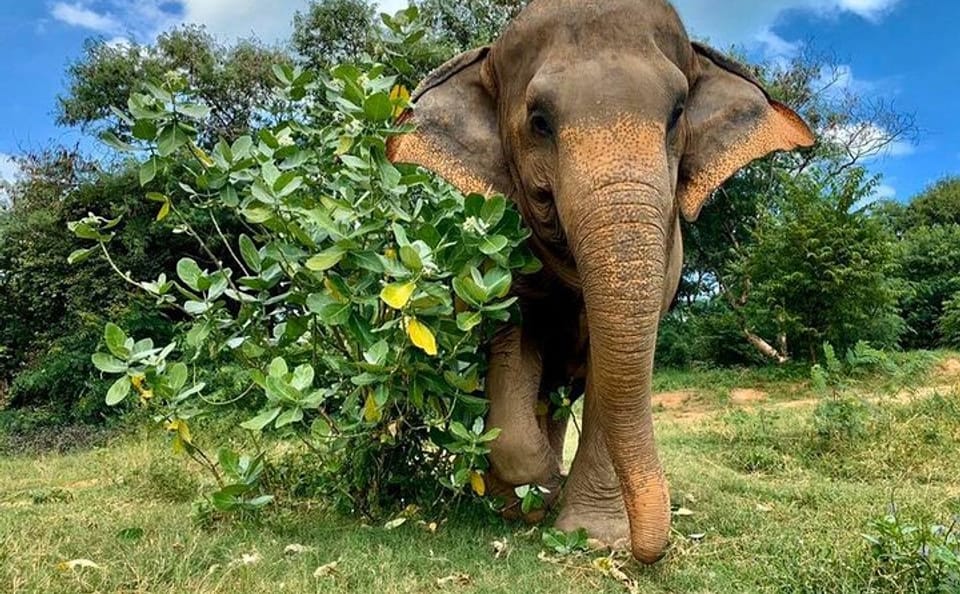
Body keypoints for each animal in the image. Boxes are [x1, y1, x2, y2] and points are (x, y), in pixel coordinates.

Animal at [388, 0, 814, 563]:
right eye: (539, 122)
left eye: (677, 113)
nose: (649, 553)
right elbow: (513, 341)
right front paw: (539, 491)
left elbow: (614, 370)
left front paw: (592, 534)